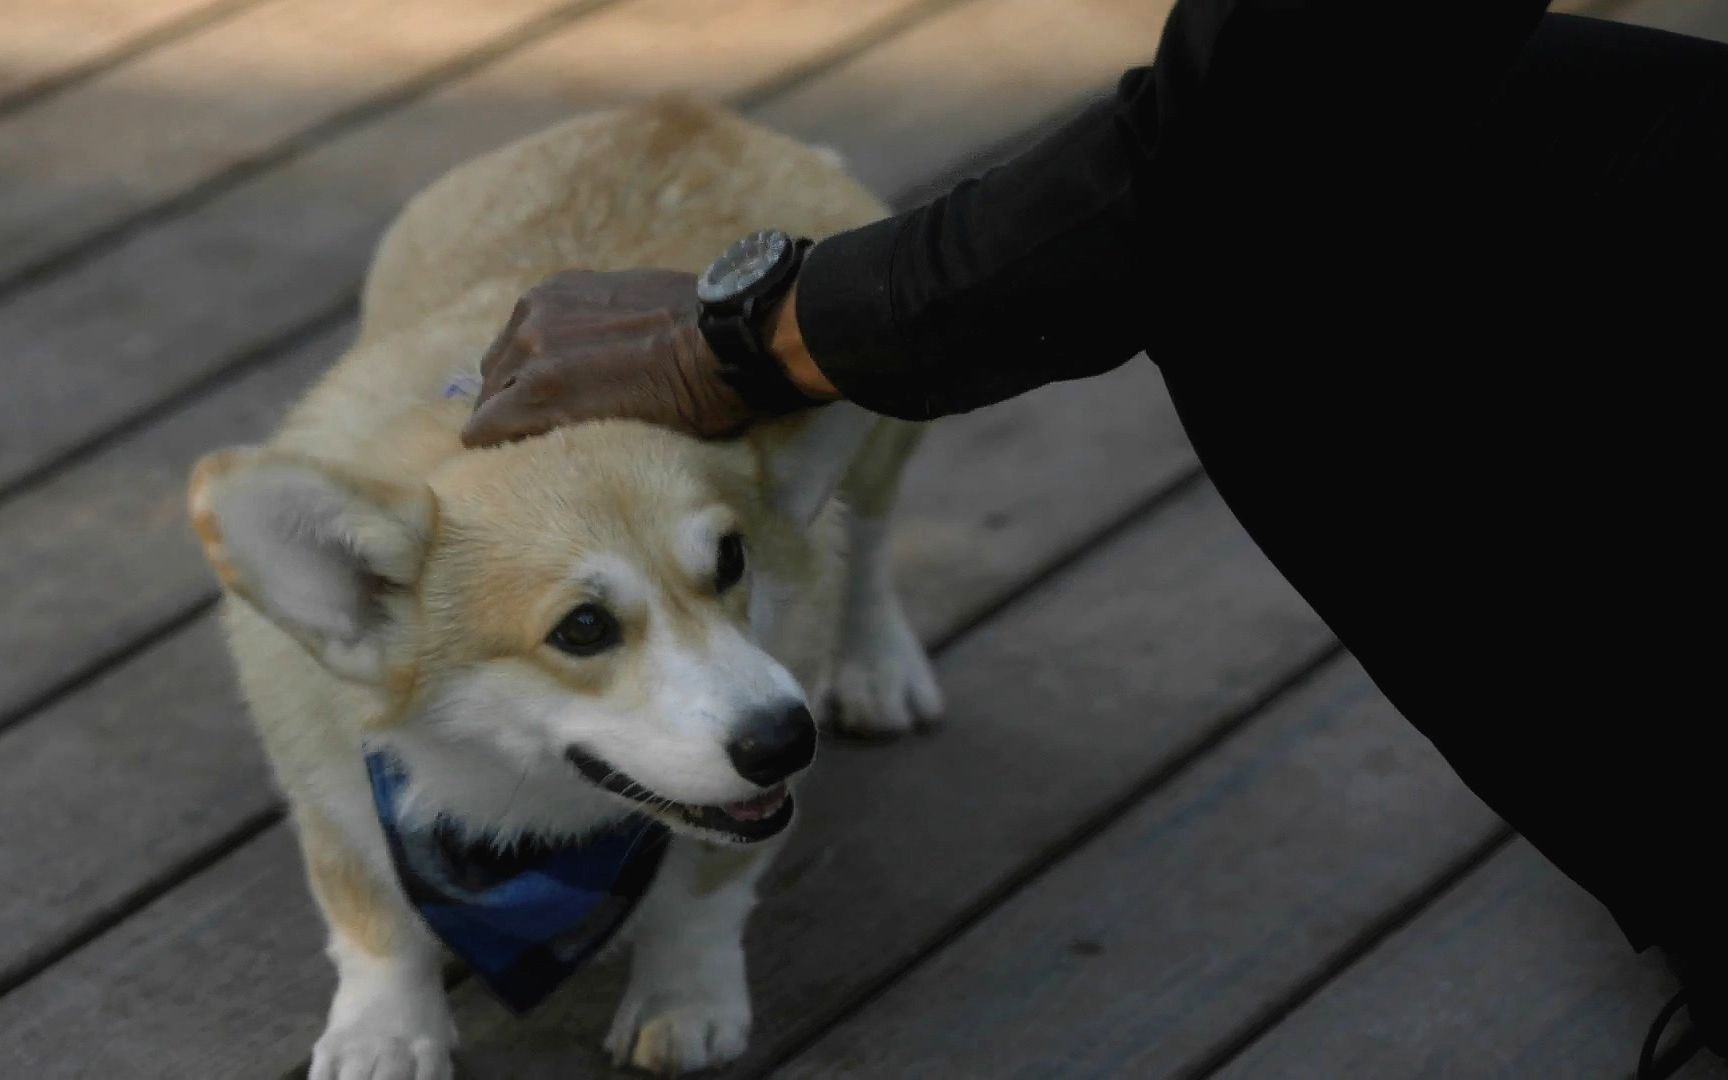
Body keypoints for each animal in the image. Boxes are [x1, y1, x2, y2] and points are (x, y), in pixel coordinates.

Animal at [187, 96, 940, 1071]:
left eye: (731, 562)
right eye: (582, 629)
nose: (786, 739)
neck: (514, 812)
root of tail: (681, 110)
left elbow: (702, 900)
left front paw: (684, 1004)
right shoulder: (330, 793)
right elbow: (373, 924)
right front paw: (384, 1036)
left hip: (883, 434)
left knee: (874, 539)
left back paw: (880, 665)